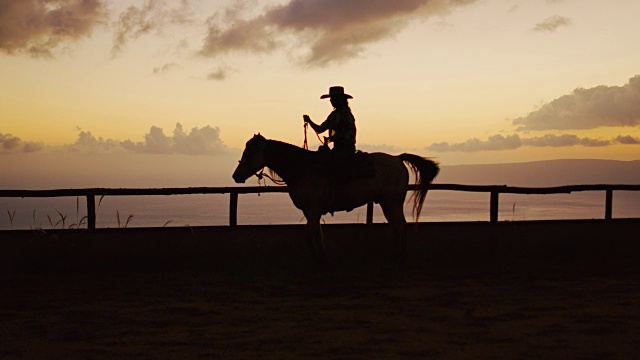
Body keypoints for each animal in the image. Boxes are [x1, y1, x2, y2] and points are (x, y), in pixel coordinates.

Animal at [231, 134, 440, 262]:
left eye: (249, 152)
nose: (235, 176)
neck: (303, 168)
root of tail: (398, 158)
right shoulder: (310, 211)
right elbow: (317, 234)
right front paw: (322, 256)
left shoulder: (314, 209)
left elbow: (308, 235)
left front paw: (318, 258)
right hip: (386, 203)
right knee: (395, 226)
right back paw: (395, 255)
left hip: (393, 202)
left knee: (401, 226)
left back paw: (401, 257)